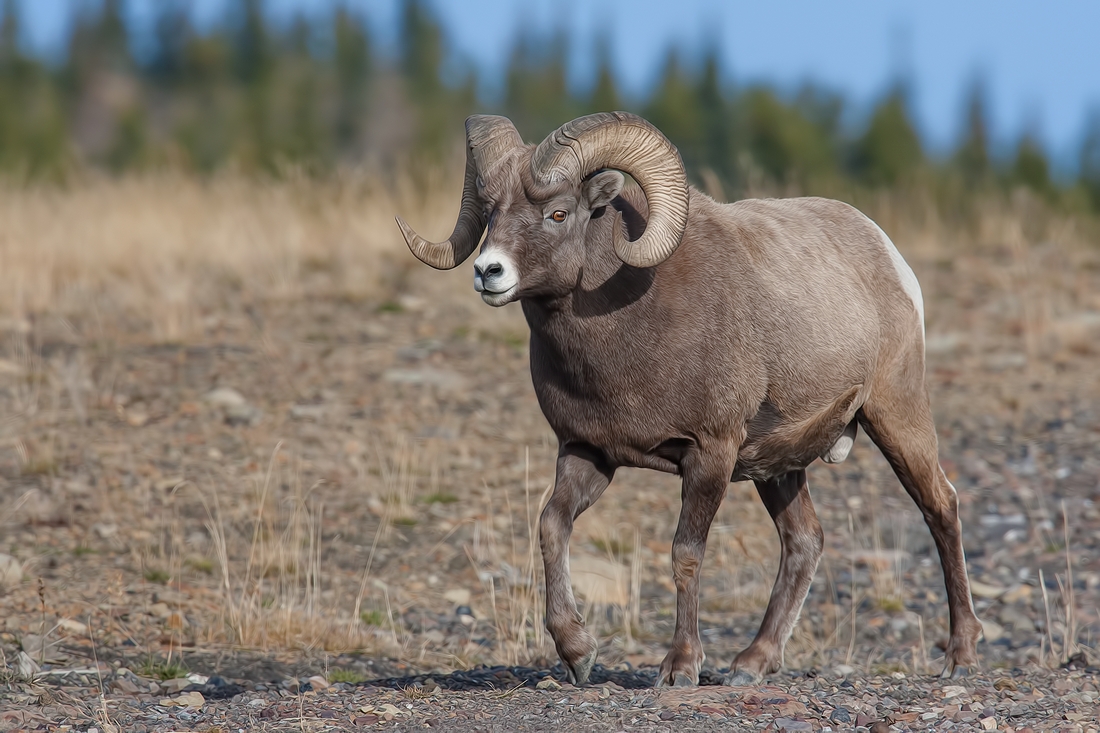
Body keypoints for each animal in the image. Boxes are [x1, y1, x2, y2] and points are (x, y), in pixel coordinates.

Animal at [396, 112, 981, 686]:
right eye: (492, 213)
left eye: (559, 212)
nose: (487, 272)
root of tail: (891, 258)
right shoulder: (587, 453)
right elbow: (552, 526)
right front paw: (578, 653)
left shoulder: (710, 455)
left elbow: (686, 555)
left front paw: (679, 668)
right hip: (778, 467)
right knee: (805, 541)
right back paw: (751, 665)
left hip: (895, 415)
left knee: (940, 507)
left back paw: (960, 657)